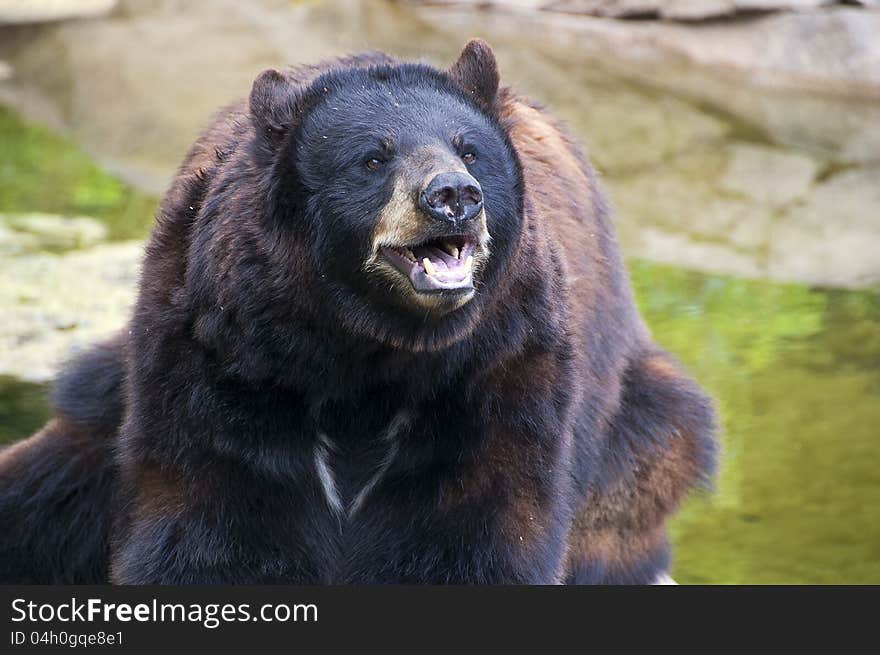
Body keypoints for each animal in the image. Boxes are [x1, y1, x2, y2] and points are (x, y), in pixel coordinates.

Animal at [0, 41, 716, 584]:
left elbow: (478, 528)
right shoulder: (222, 358)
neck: (365, 350)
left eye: (469, 148)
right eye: (373, 157)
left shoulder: (499, 370)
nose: (454, 196)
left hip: (635, 438)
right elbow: (212, 517)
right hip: (102, 402)